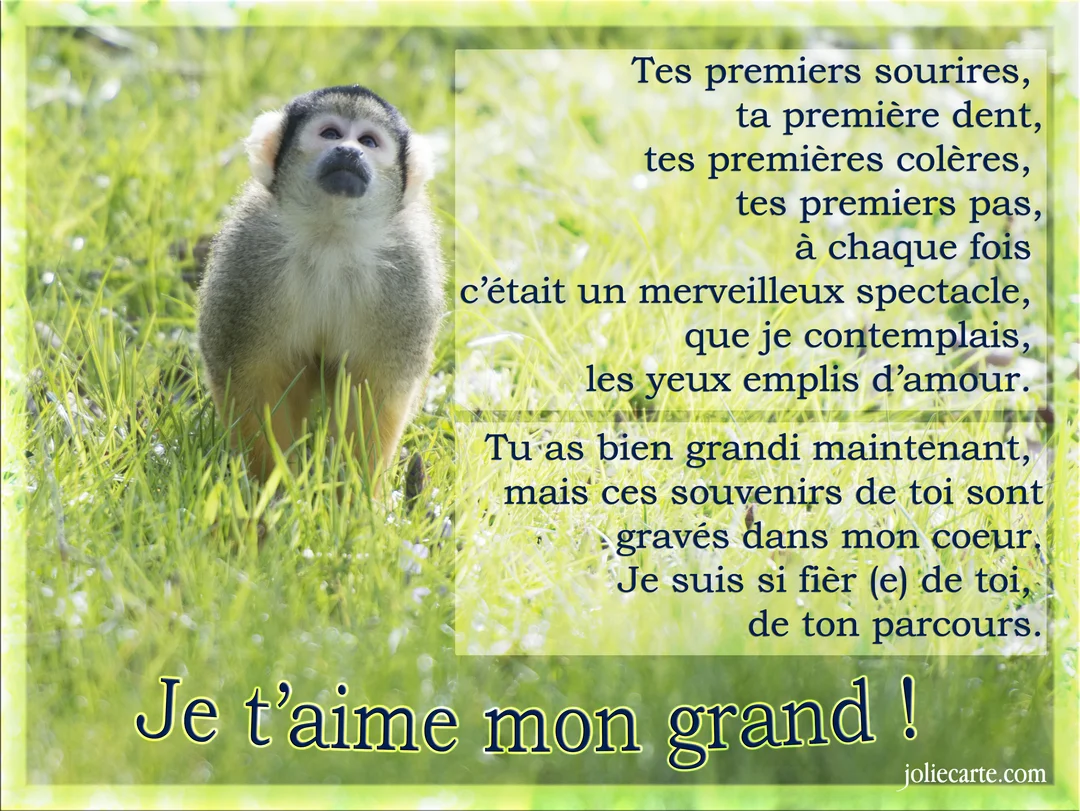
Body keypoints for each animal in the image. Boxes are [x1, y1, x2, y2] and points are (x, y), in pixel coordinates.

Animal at [197, 85, 445, 491]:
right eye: (330, 133)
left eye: (369, 141)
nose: (349, 151)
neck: (332, 236)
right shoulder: (248, 254)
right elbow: (250, 380)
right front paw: (273, 488)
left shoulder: (409, 271)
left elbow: (376, 391)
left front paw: (354, 494)